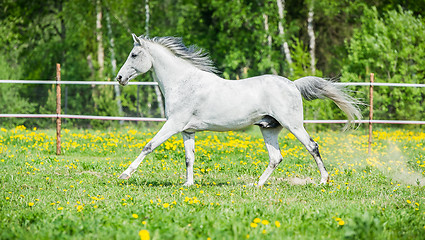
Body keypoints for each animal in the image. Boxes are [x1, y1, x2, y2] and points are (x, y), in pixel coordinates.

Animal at [117, 33, 362, 186]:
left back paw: (323, 181)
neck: (184, 82)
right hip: (269, 128)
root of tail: (292, 84)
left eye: (134, 55)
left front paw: (124, 175)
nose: (119, 78)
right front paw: (188, 184)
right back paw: (257, 184)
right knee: (276, 158)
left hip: (293, 125)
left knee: (312, 146)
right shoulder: (188, 130)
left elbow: (148, 146)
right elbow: (189, 158)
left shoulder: (173, 125)